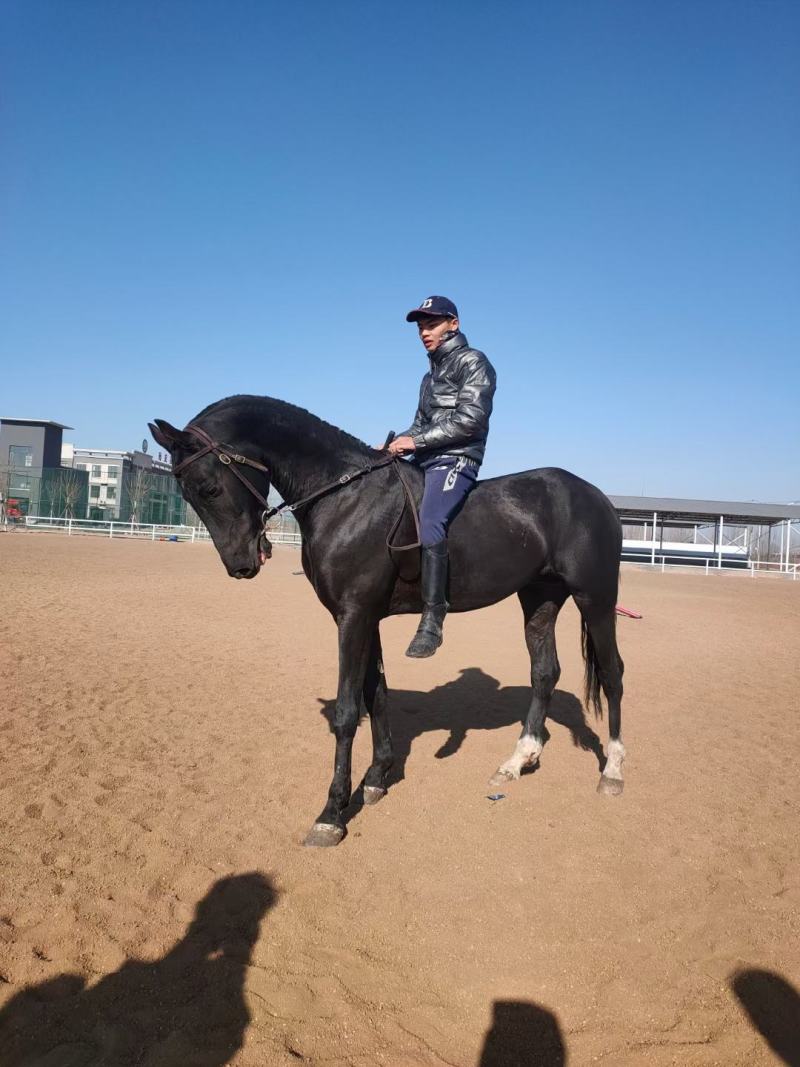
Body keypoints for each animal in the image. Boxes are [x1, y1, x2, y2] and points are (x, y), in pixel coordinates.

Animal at [149, 394, 626, 847]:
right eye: (187, 495)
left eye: (209, 488)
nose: (242, 564)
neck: (345, 497)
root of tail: (595, 495)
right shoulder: (366, 617)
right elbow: (375, 694)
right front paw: (377, 777)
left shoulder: (354, 616)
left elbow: (347, 711)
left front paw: (332, 814)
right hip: (540, 599)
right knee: (544, 673)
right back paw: (517, 761)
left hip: (596, 598)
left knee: (613, 674)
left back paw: (613, 772)